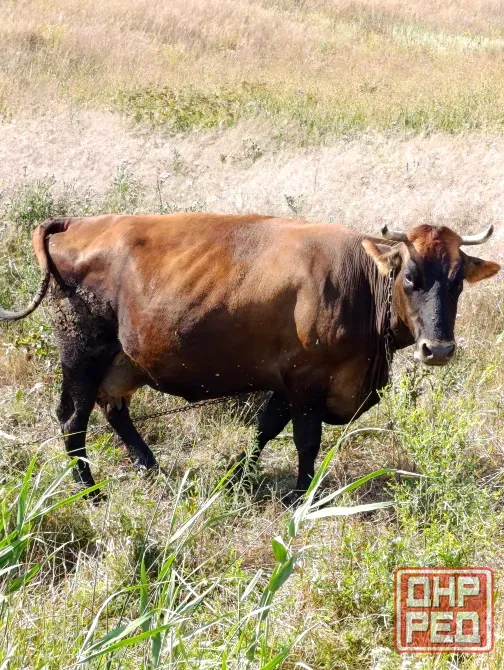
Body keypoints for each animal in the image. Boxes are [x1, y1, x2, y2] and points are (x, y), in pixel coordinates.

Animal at [0, 214, 500, 496]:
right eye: (410, 277)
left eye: (457, 281)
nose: (438, 349)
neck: (358, 281)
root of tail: (76, 222)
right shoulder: (307, 380)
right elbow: (305, 439)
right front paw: (301, 494)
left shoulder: (288, 381)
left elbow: (266, 427)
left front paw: (237, 475)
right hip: (82, 351)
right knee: (72, 418)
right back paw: (89, 492)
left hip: (123, 359)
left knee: (114, 409)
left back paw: (149, 466)